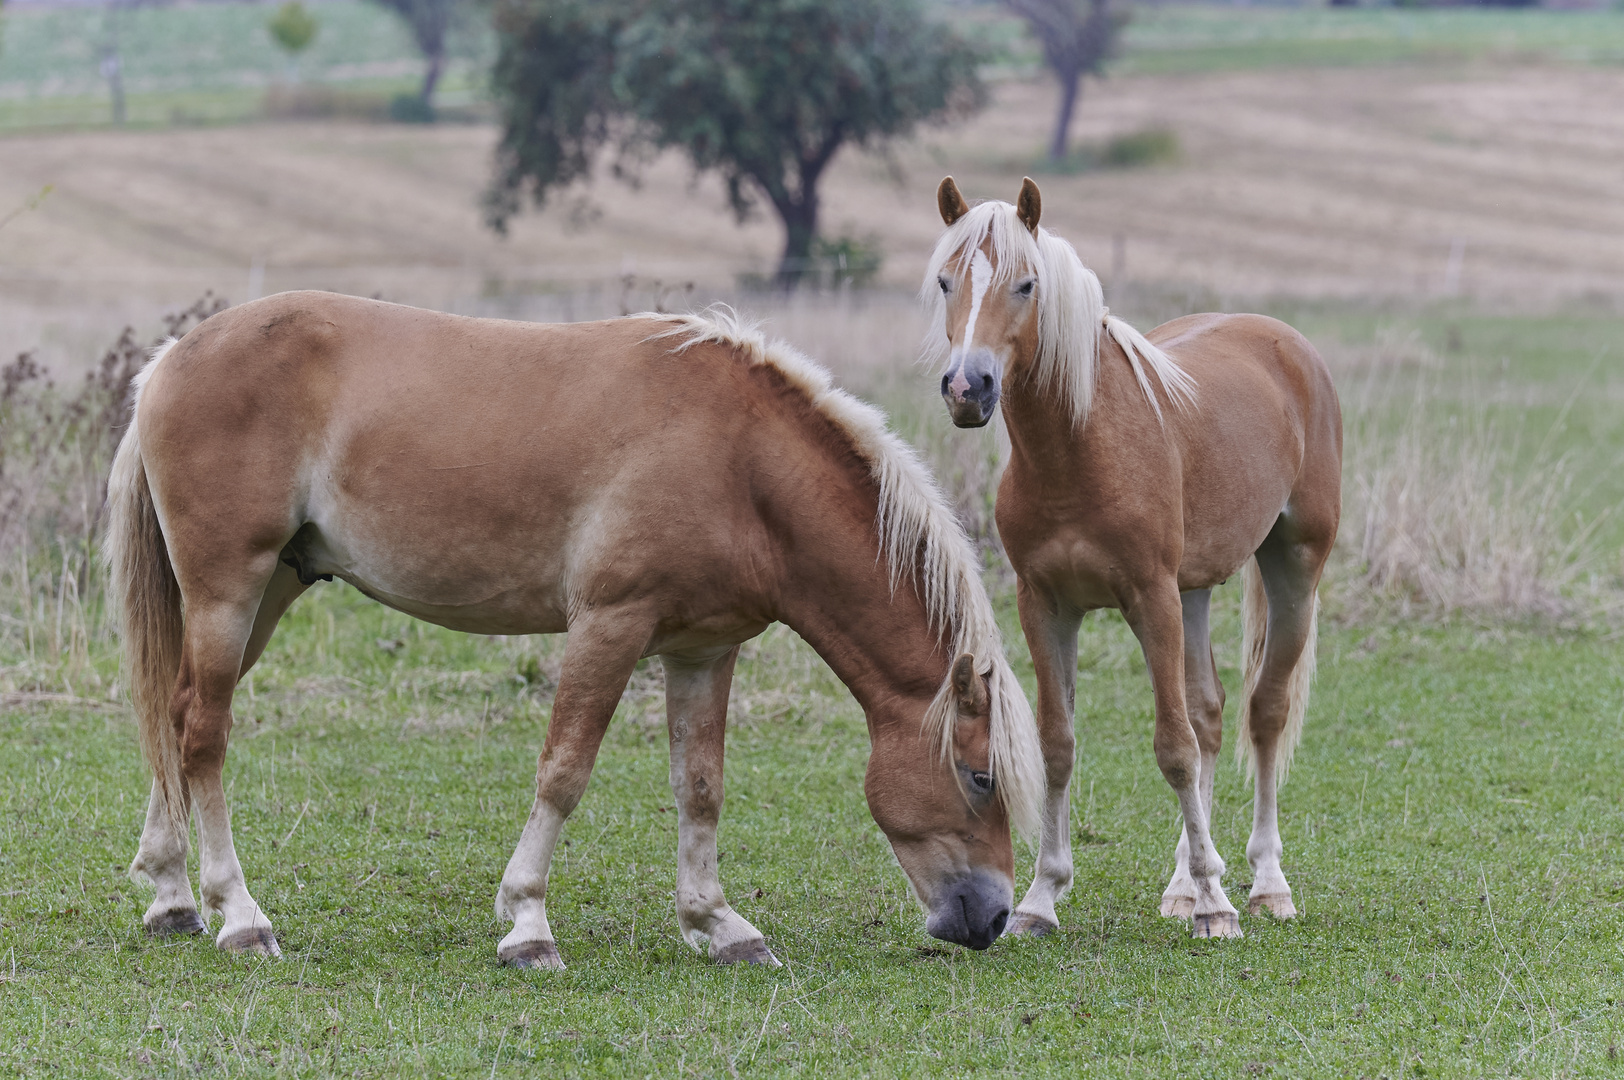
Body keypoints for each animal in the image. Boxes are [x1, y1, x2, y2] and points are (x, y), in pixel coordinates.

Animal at [107, 290, 1039, 961]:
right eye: (981, 777)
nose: (993, 918)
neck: (739, 463)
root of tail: (169, 362)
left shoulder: (705, 649)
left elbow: (700, 785)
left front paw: (718, 924)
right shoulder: (610, 626)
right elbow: (564, 770)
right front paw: (527, 924)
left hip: (266, 594)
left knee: (176, 720)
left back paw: (172, 896)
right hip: (229, 591)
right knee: (203, 734)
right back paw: (239, 915)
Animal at [922, 177, 1338, 935]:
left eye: (1026, 283)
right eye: (945, 282)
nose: (968, 389)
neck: (1080, 449)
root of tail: (1286, 344)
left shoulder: (1150, 598)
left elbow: (1172, 747)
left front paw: (1217, 908)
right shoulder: (1045, 605)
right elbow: (1059, 745)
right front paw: (1041, 898)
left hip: (1293, 566)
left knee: (1263, 712)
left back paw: (1264, 883)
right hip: (1194, 591)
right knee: (1210, 714)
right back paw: (1184, 883)